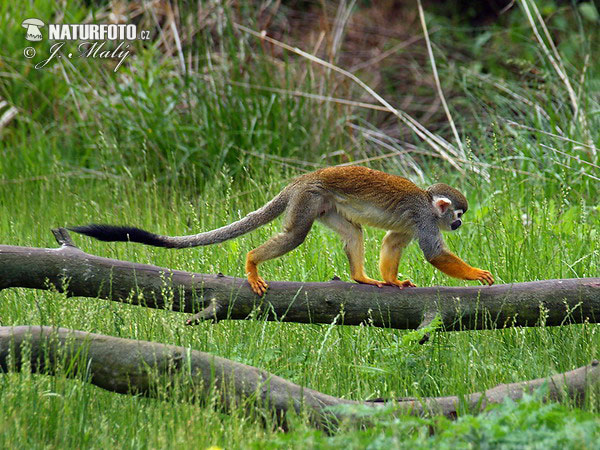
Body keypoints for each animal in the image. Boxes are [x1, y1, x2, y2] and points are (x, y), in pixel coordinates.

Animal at [70, 166, 492, 296]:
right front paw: (476, 274)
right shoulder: (424, 218)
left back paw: (360, 277)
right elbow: (434, 253)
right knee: (294, 237)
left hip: (324, 206)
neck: (428, 205)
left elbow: (393, 240)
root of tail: (302, 179)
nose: (457, 223)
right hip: (309, 199)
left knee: (353, 232)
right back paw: (251, 263)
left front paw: (392, 280)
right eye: (457, 214)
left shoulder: (415, 222)